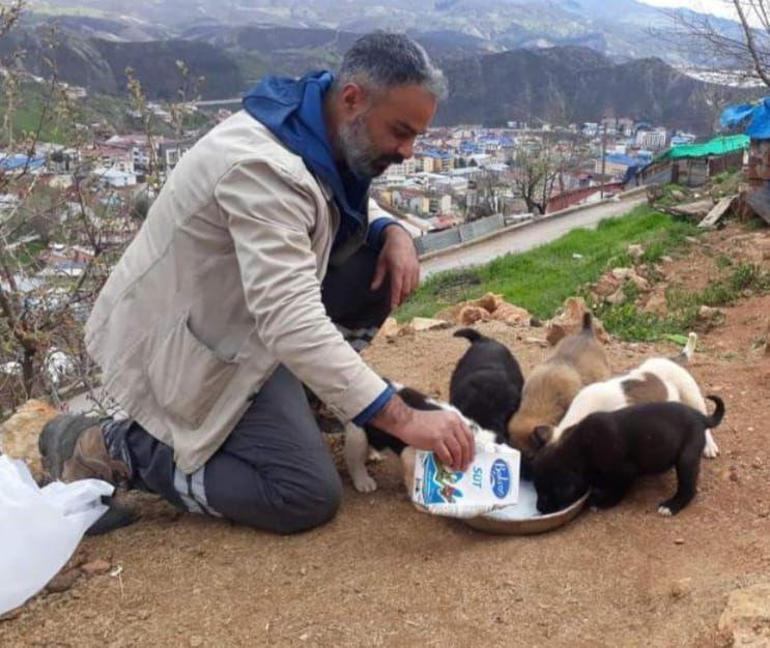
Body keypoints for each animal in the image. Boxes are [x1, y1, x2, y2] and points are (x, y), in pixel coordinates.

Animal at [532, 394, 724, 516]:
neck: (580, 450)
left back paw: (670, 506)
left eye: (548, 493)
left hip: (686, 459)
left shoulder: (624, 472)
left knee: (689, 489)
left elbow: (617, 490)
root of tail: (701, 418)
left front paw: (602, 502)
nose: (539, 508)